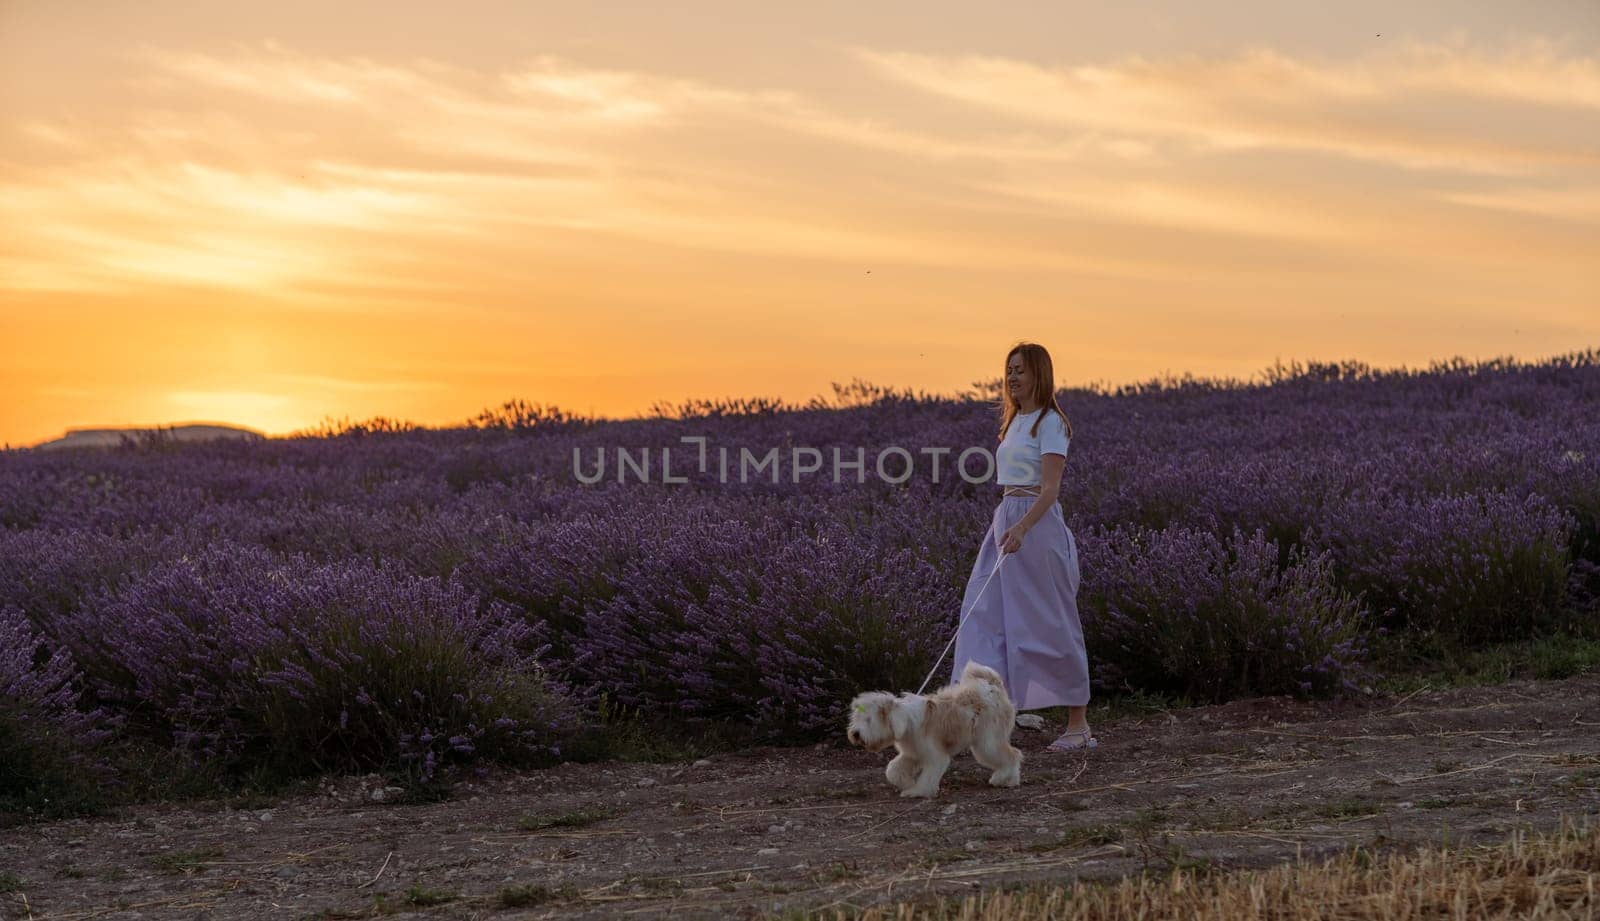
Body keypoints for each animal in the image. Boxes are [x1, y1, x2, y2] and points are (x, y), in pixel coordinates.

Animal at [844, 661, 1017, 799]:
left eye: (868, 720)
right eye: (855, 719)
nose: (855, 734)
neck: (906, 721)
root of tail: (993, 686)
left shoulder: (935, 756)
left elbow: (927, 776)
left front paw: (917, 791)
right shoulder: (912, 754)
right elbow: (893, 770)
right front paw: (908, 783)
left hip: (987, 742)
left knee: (1012, 755)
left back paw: (1001, 778)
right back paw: (1011, 781)